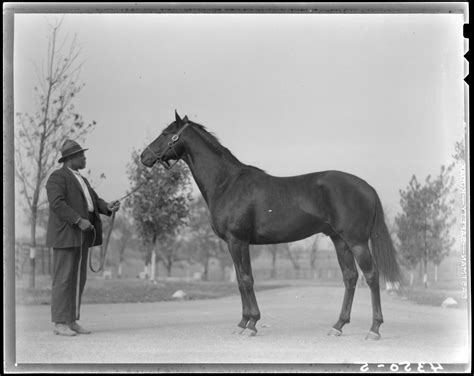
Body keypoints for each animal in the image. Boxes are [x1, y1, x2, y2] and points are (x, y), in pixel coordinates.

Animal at [140, 110, 400, 340]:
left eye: (166, 133)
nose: (144, 156)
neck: (227, 183)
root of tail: (367, 186)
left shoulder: (238, 241)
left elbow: (246, 279)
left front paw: (251, 324)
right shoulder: (233, 244)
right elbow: (239, 279)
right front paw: (242, 323)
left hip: (357, 242)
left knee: (371, 275)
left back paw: (374, 329)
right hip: (340, 241)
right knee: (350, 277)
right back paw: (338, 326)